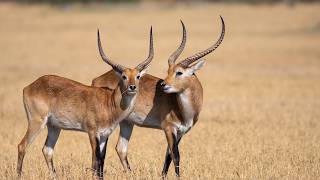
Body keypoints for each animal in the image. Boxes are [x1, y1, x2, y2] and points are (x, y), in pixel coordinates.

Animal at [16, 27, 154, 179]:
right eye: (124, 76)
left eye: (138, 76)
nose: (132, 87)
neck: (109, 103)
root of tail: (30, 86)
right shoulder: (92, 133)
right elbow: (95, 161)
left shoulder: (104, 135)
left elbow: (100, 161)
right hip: (37, 121)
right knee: (22, 146)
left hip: (54, 127)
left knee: (47, 150)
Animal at [91, 15, 224, 176]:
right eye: (168, 71)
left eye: (179, 72)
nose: (163, 85)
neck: (183, 109)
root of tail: (97, 79)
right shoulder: (169, 128)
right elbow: (176, 155)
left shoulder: (181, 132)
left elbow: (169, 156)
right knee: (100, 152)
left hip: (127, 123)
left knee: (120, 149)